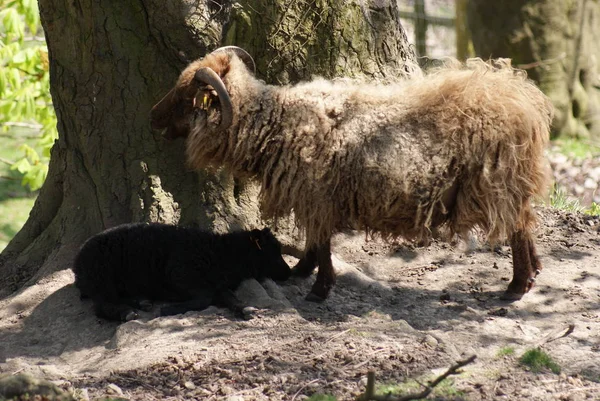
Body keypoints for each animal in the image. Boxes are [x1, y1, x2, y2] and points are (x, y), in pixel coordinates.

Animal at [72, 222, 290, 322]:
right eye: (273, 252)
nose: (289, 273)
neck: (221, 253)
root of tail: (77, 263)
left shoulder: (216, 285)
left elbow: (229, 297)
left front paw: (245, 309)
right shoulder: (180, 273)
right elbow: (204, 299)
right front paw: (170, 310)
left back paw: (142, 302)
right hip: (101, 279)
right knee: (102, 306)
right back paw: (128, 313)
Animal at [150, 47, 552, 302]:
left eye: (185, 96)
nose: (152, 117)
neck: (278, 123)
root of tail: (520, 98)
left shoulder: (317, 196)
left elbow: (322, 242)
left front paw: (318, 290)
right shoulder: (314, 198)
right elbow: (314, 241)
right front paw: (301, 272)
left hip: (496, 181)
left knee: (516, 228)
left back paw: (516, 287)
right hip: (511, 182)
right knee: (526, 222)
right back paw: (533, 274)